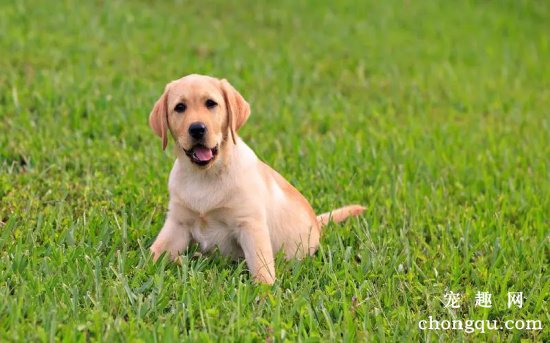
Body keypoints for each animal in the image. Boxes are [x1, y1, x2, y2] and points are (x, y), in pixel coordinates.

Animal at [149, 74, 364, 284]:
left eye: (211, 103)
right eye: (180, 107)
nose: (197, 129)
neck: (204, 176)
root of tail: (317, 223)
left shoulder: (250, 225)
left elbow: (261, 267)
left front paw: (264, 292)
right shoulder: (177, 223)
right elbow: (154, 253)